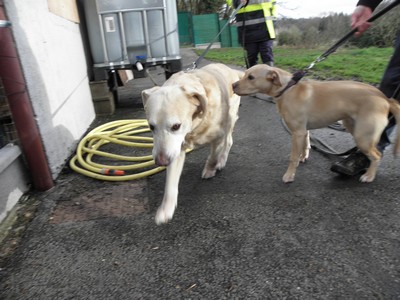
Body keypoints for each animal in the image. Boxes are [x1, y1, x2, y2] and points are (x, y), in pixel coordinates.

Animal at [141, 63, 241, 224]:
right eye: (151, 127)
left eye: (176, 126)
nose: (161, 162)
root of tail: (230, 69)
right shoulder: (175, 150)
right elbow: (170, 184)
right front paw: (166, 209)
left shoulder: (218, 137)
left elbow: (213, 157)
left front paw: (210, 169)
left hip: (230, 119)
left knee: (229, 141)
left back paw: (221, 161)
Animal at [231, 64, 400, 183]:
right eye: (245, 74)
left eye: (251, 77)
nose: (232, 85)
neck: (287, 89)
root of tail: (385, 98)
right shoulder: (304, 131)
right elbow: (306, 145)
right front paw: (303, 157)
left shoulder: (297, 133)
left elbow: (292, 157)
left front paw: (289, 175)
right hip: (352, 126)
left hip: (363, 136)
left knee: (377, 155)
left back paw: (369, 176)